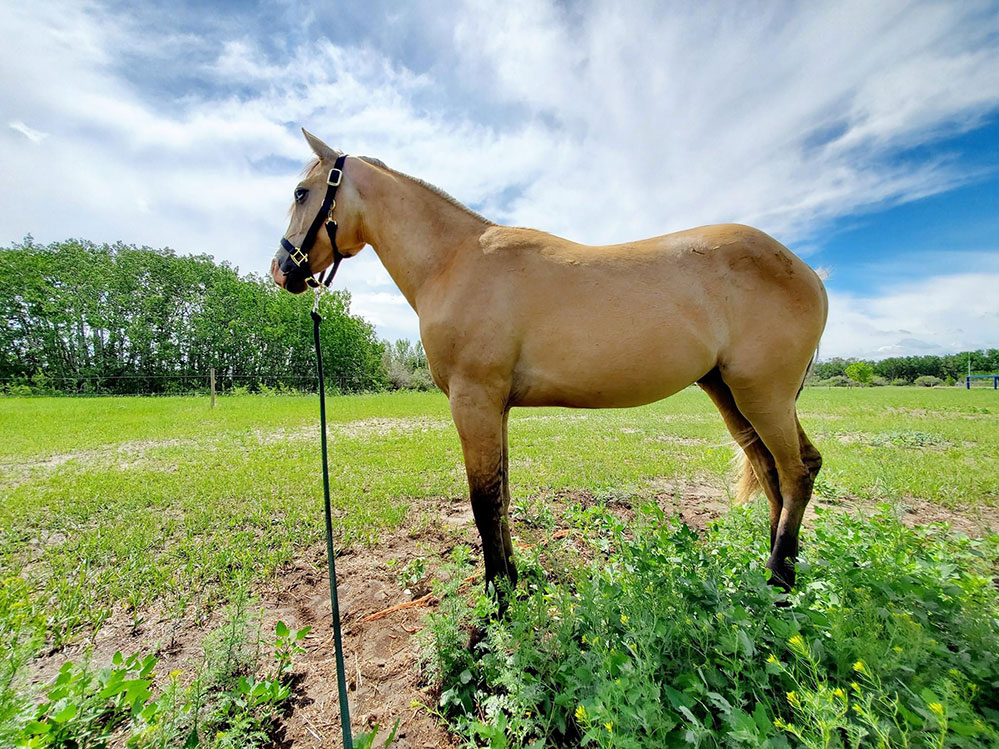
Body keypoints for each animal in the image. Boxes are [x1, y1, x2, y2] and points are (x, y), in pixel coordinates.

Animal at [272, 129, 827, 604]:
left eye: (301, 192)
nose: (281, 269)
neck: (453, 262)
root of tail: (809, 273)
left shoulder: (473, 401)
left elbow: (483, 502)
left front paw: (497, 604)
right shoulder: (495, 407)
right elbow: (500, 495)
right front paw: (513, 582)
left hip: (762, 395)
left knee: (797, 473)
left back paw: (778, 582)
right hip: (731, 394)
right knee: (775, 473)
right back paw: (775, 572)